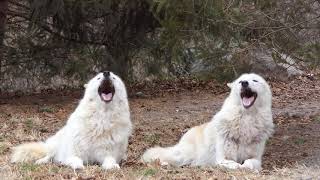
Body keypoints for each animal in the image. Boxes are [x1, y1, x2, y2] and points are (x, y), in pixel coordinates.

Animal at [143, 73, 276, 170]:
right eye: (240, 81)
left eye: (255, 80)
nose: (244, 83)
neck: (246, 121)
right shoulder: (222, 159)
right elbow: (234, 164)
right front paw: (239, 167)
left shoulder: (256, 159)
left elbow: (250, 163)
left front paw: (247, 167)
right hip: (182, 156)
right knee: (160, 157)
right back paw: (163, 164)